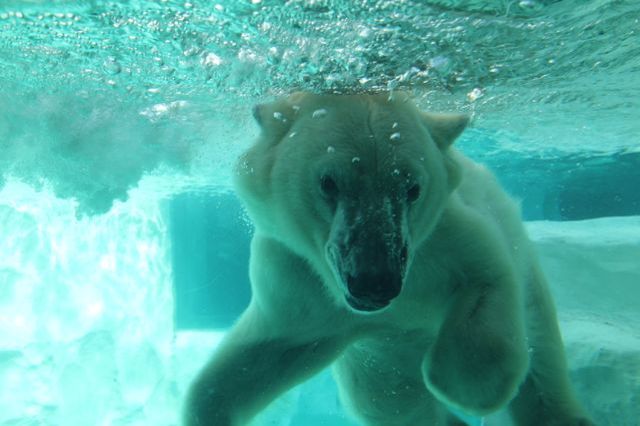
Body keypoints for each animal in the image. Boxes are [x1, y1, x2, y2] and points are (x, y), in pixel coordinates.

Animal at [182, 91, 592, 424]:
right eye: (328, 183)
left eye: (412, 188)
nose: (374, 281)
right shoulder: (297, 279)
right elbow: (259, 356)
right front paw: (211, 406)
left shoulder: (445, 240)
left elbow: (487, 276)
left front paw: (463, 386)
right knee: (389, 406)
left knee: (542, 361)